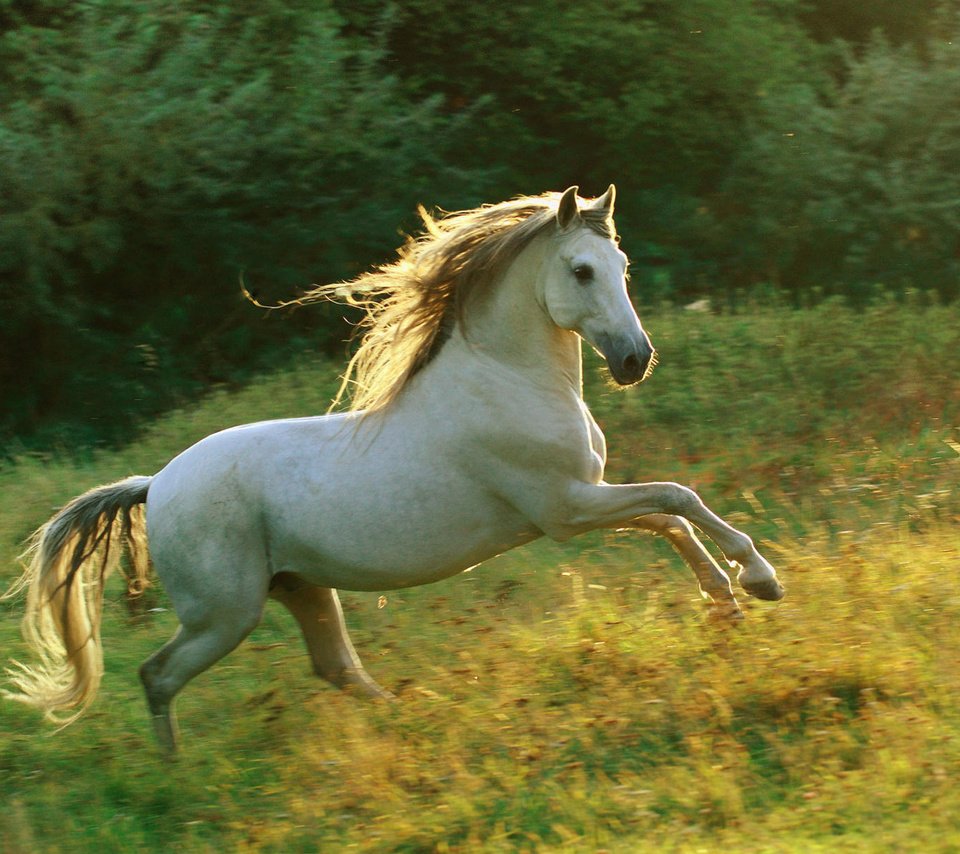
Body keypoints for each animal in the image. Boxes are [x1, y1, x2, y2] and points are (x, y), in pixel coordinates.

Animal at [3, 187, 784, 756]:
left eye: (621, 268)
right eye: (582, 270)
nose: (634, 360)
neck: (508, 380)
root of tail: (154, 485)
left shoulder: (582, 501)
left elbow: (670, 517)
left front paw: (727, 601)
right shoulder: (565, 509)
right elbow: (677, 498)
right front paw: (759, 579)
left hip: (300, 588)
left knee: (335, 668)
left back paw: (416, 720)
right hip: (223, 614)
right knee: (157, 674)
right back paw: (178, 773)